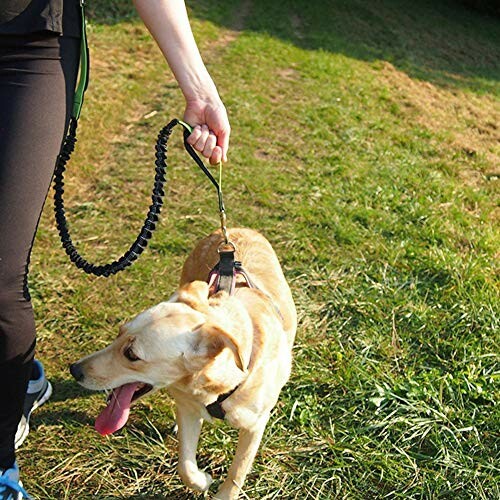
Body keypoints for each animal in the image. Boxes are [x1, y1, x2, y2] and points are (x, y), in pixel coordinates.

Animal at [71, 228, 296, 500]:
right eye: (119, 333)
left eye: (131, 354)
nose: (74, 370)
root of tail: (234, 230)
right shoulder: (188, 408)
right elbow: (185, 466)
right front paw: (202, 481)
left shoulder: (255, 425)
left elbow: (237, 472)